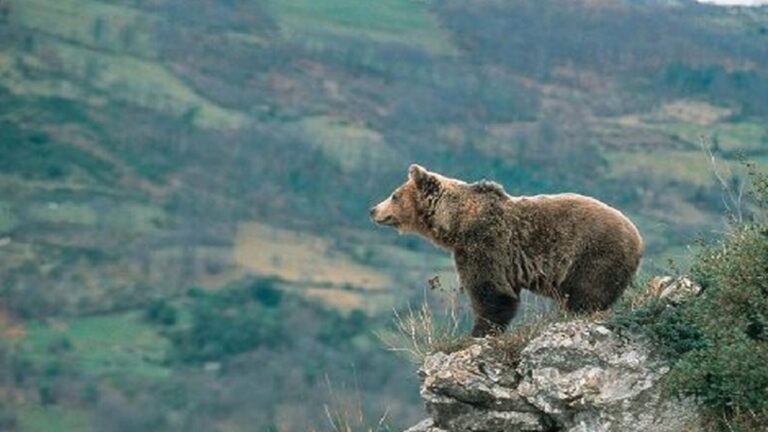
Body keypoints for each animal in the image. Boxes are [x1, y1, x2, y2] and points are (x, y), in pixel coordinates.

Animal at [370, 164, 644, 337]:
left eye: (394, 195)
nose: (373, 210)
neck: (456, 223)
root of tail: (638, 238)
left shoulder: (485, 244)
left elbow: (491, 292)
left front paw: (478, 333)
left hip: (593, 254)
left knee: (587, 294)